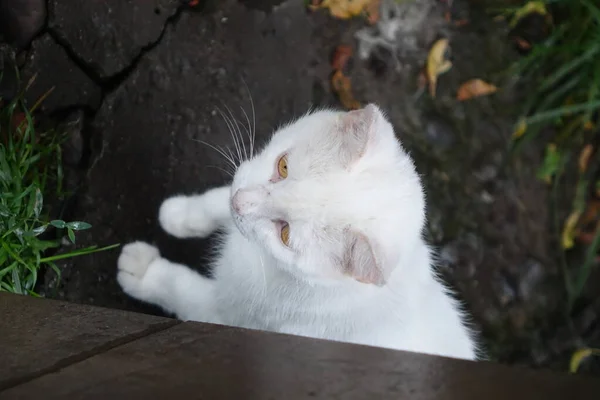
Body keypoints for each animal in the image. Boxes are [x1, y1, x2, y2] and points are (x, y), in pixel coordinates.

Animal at [116, 103, 478, 360]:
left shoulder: (231, 320)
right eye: (283, 166)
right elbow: (217, 200)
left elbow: (182, 289)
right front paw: (178, 214)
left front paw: (143, 272)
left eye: (286, 234)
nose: (240, 203)